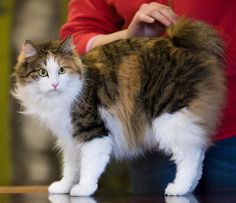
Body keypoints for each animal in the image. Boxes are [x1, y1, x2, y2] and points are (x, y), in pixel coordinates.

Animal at [12, 18, 225, 196]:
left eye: (62, 70)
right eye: (43, 73)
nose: (55, 84)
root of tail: (181, 45)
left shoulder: (94, 132)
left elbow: (89, 166)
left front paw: (83, 188)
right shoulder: (69, 138)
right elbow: (71, 167)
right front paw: (64, 186)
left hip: (170, 117)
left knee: (190, 156)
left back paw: (178, 188)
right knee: (198, 152)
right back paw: (190, 186)